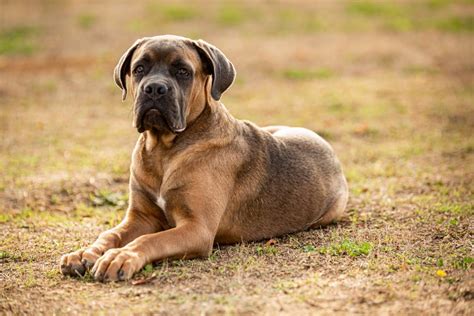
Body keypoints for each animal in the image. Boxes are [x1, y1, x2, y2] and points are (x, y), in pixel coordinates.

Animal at [59, 35, 348, 282]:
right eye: (140, 68)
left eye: (183, 71)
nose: (154, 88)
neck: (165, 149)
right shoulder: (140, 217)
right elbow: (110, 234)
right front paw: (84, 253)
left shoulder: (197, 228)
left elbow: (150, 240)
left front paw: (120, 257)